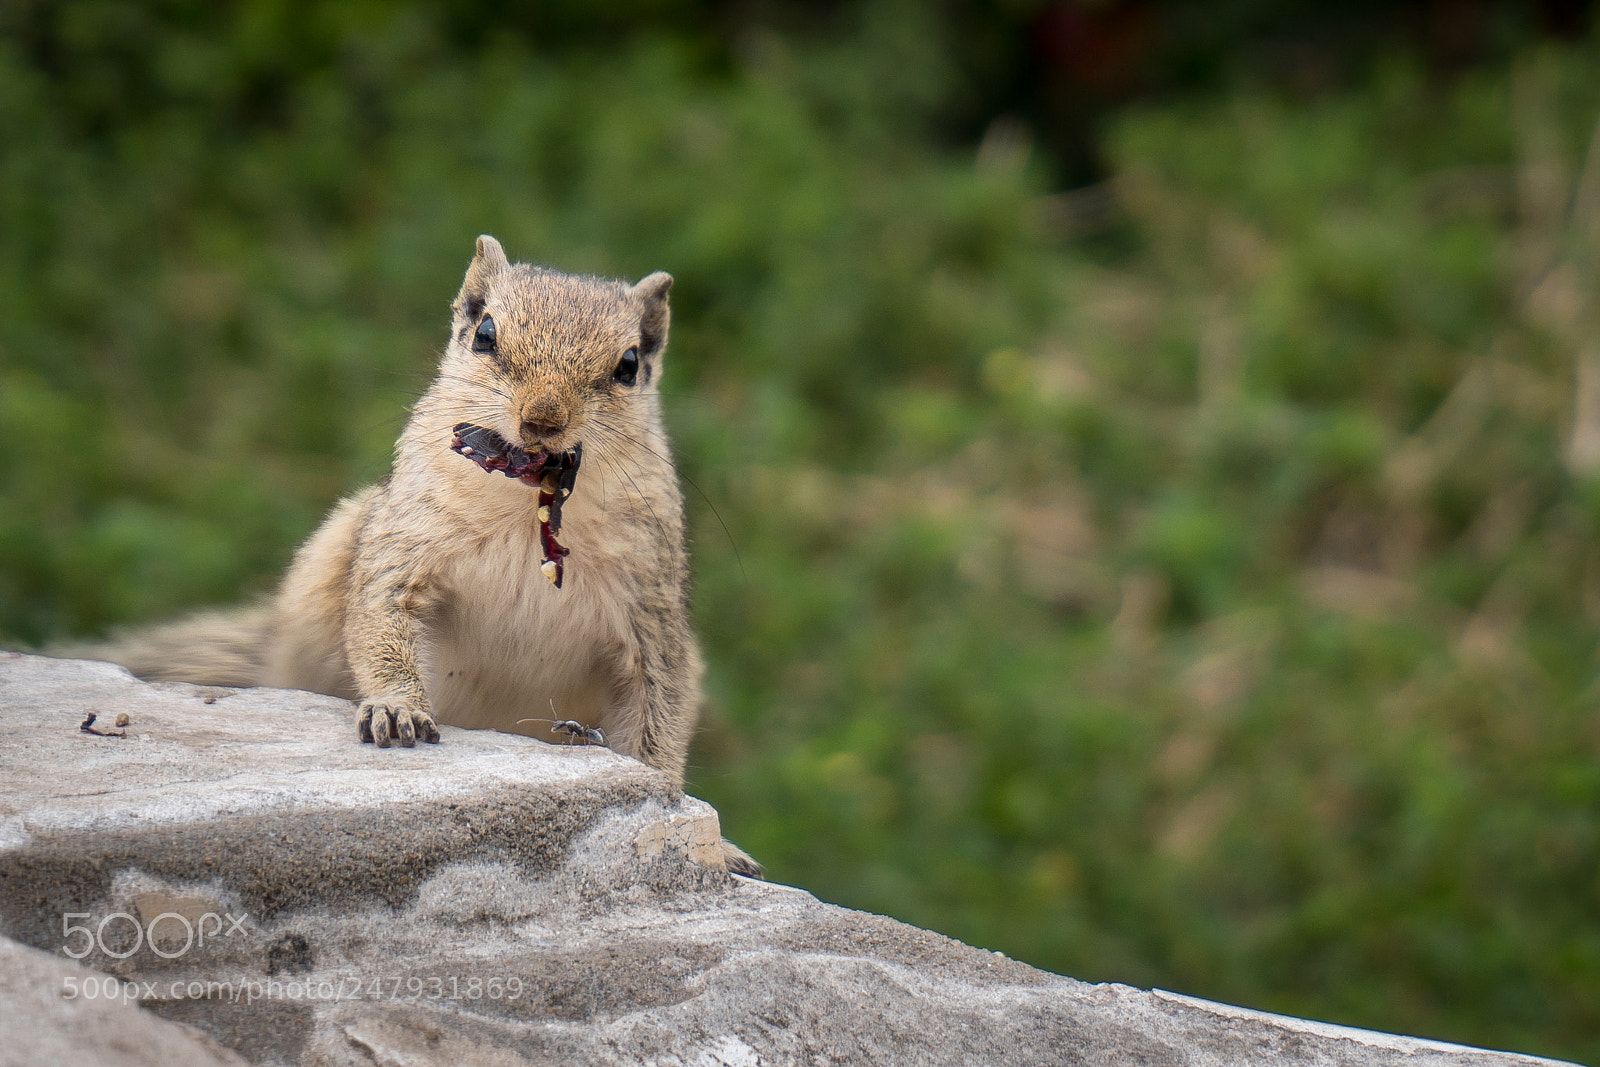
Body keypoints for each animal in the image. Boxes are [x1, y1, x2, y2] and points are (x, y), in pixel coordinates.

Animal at [70, 236, 761, 878]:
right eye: (485, 333)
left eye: (628, 365)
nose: (543, 419)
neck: (526, 504)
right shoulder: (401, 547)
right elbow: (380, 619)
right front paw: (397, 708)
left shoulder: (653, 615)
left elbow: (658, 719)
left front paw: (698, 830)